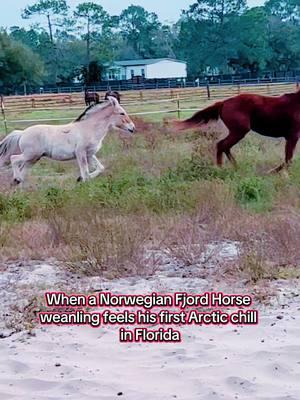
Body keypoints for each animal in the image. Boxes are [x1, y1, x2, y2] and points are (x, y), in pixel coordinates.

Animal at [0, 96, 135, 185]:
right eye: (122, 113)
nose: (133, 128)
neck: (89, 128)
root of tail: (22, 133)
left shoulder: (90, 154)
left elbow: (100, 168)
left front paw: (79, 179)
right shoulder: (81, 153)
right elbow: (85, 172)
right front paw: (82, 180)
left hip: (34, 158)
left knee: (23, 169)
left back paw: (19, 183)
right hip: (30, 154)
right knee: (14, 159)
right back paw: (16, 179)